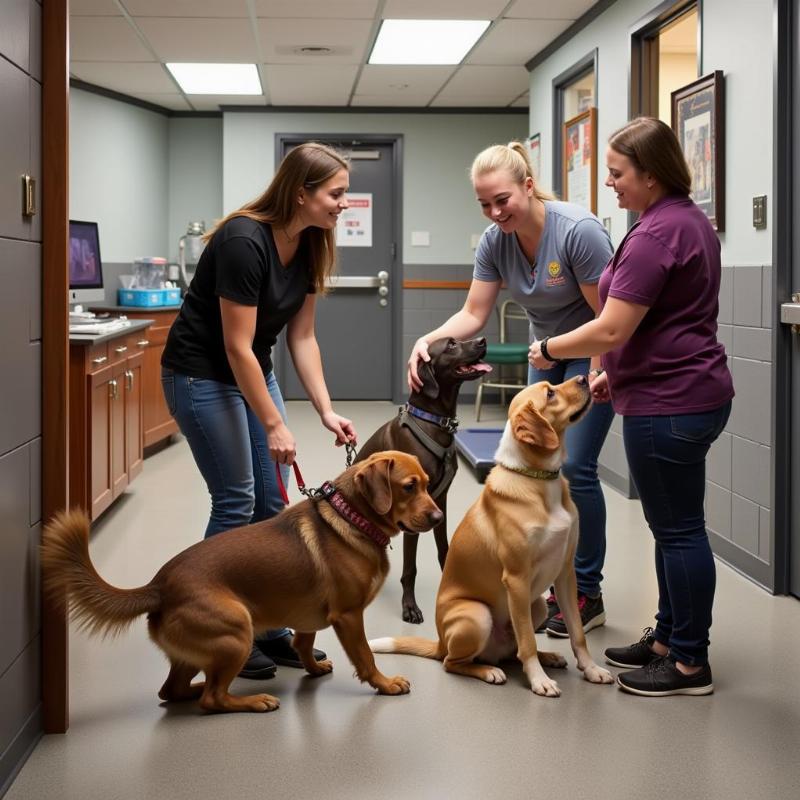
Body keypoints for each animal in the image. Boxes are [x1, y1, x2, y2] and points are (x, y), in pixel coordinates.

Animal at [368, 378, 612, 696]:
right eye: (550, 393)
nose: (585, 378)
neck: (537, 480)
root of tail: (440, 642)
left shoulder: (566, 574)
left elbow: (577, 633)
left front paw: (591, 669)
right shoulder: (517, 579)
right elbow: (528, 641)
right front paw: (539, 681)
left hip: (536, 605)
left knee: (513, 650)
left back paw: (547, 657)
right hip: (478, 615)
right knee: (454, 662)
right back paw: (489, 671)